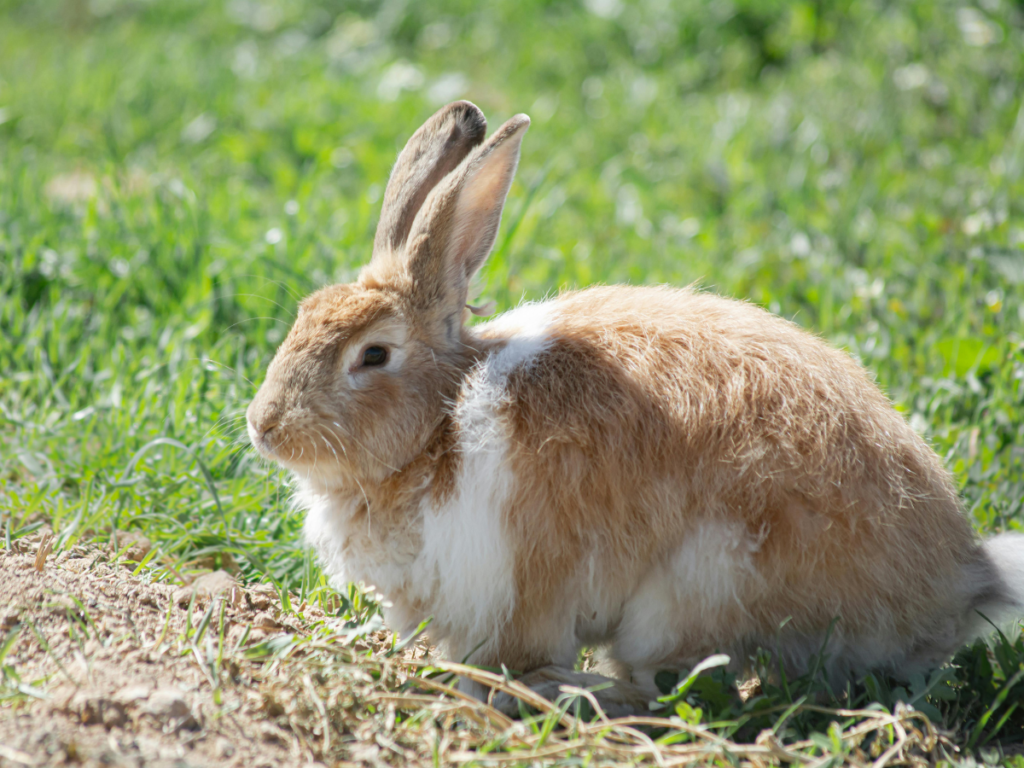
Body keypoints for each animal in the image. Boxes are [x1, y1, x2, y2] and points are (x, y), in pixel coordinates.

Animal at [249, 102, 1024, 716]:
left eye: (373, 356)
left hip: (693, 590)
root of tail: (960, 583)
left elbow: (510, 654)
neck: (439, 423)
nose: (264, 427)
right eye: (304, 314)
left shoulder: (516, 586)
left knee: (670, 685)